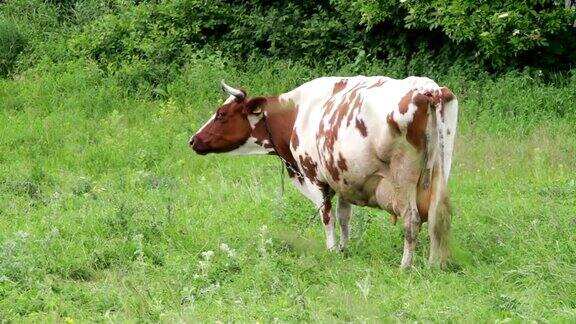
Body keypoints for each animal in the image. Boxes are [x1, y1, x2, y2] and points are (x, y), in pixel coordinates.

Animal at [189, 76, 460, 268]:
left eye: (221, 114)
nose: (193, 140)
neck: (298, 113)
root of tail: (428, 88)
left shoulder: (316, 178)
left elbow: (327, 216)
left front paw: (331, 251)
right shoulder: (343, 177)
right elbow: (344, 216)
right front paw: (344, 249)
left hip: (402, 179)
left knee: (412, 219)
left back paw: (405, 265)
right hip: (440, 170)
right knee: (437, 217)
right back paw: (434, 263)